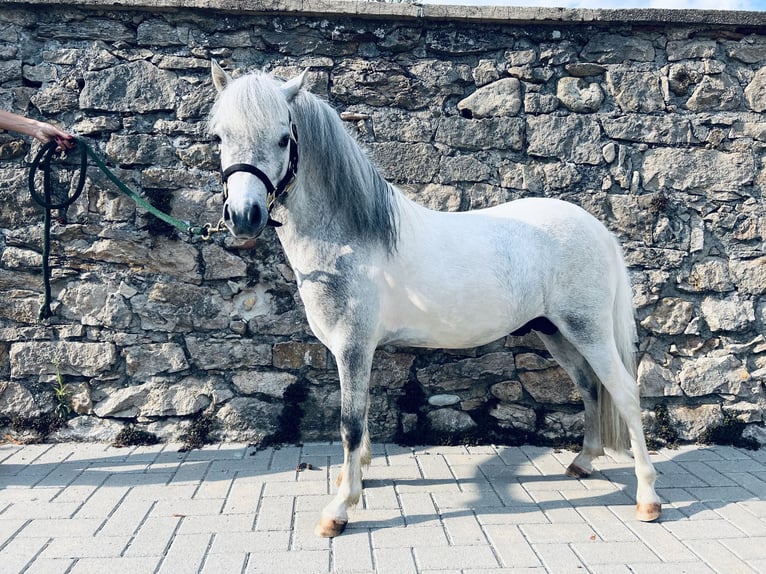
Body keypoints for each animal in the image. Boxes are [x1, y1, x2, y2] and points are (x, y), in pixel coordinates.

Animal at [208, 64, 660, 540]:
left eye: (283, 138)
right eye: (219, 137)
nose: (244, 217)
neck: (351, 238)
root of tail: (599, 229)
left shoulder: (353, 347)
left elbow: (350, 424)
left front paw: (340, 509)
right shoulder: (353, 350)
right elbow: (361, 417)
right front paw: (354, 477)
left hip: (588, 330)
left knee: (624, 392)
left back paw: (648, 498)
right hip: (554, 331)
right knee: (590, 386)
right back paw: (584, 461)